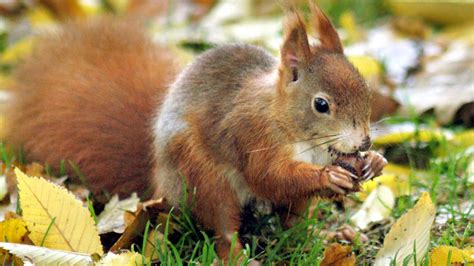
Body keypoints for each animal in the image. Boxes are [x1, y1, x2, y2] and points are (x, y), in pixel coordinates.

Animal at [6, 4, 386, 262]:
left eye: (365, 89)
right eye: (321, 105)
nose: (365, 141)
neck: (298, 133)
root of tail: (160, 183)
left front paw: (375, 161)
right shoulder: (251, 134)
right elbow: (268, 176)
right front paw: (328, 176)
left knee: (292, 220)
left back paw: (324, 235)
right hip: (202, 175)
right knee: (222, 223)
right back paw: (238, 255)